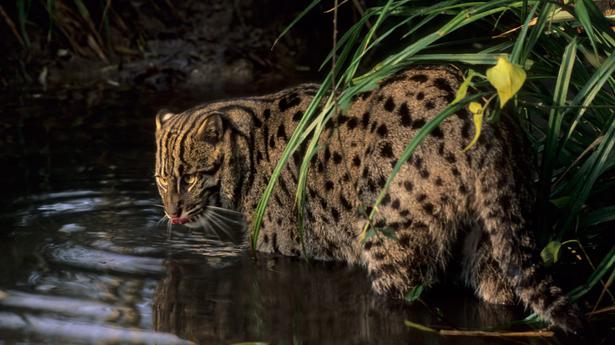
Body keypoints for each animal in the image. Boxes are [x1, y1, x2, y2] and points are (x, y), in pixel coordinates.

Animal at [154, 66, 584, 332]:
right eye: (161, 179)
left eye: (190, 178)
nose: (172, 212)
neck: (251, 146)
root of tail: (480, 122)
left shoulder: (280, 245)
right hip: (493, 235)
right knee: (503, 290)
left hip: (389, 233)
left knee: (403, 292)